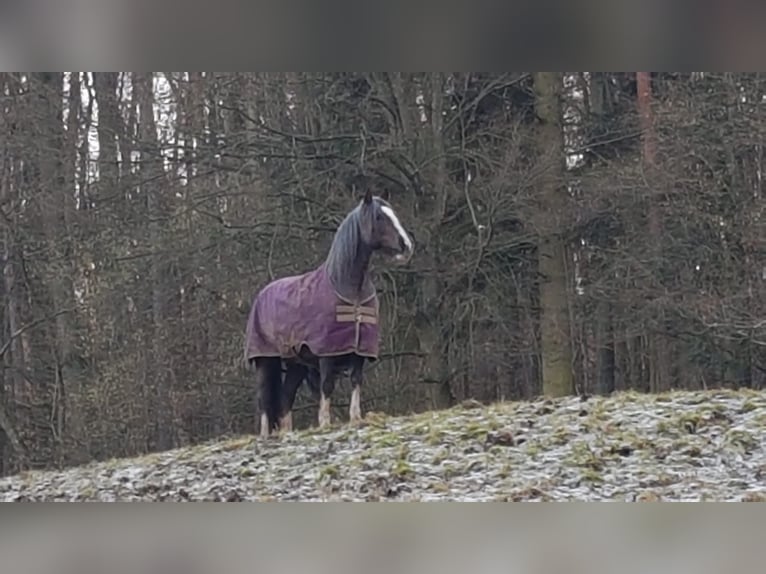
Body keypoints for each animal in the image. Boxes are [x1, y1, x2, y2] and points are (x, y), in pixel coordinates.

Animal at [246, 191, 414, 438]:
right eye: (378, 217)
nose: (406, 246)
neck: (347, 286)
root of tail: (262, 294)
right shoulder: (327, 354)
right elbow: (326, 386)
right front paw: (325, 423)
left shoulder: (358, 352)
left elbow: (356, 381)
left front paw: (355, 418)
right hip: (265, 361)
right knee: (264, 399)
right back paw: (266, 435)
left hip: (296, 365)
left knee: (286, 397)